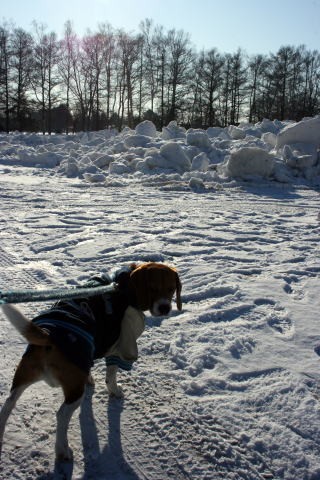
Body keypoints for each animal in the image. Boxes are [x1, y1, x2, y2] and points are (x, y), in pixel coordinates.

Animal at [0, 262, 182, 462]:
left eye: (171, 289)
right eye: (152, 288)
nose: (165, 308)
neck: (123, 285)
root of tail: (48, 336)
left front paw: (91, 380)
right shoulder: (120, 346)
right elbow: (111, 376)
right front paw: (115, 391)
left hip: (22, 377)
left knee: (7, 405)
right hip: (74, 391)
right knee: (61, 415)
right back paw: (62, 450)